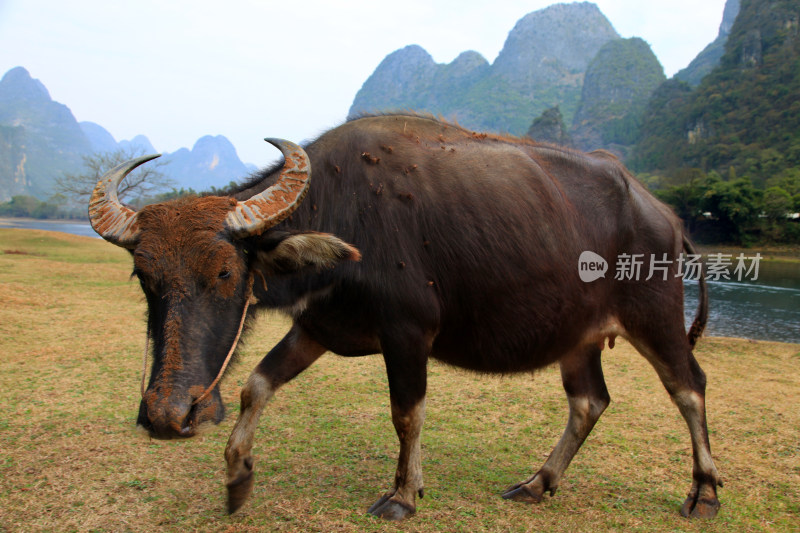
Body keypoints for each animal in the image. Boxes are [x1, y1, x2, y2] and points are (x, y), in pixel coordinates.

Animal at [90, 114, 720, 516]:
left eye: (225, 273)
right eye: (145, 278)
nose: (167, 415)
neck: (344, 218)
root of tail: (664, 214)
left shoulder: (409, 334)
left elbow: (406, 414)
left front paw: (402, 495)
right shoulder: (315, 328)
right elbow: (256, 386)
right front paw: (237, 475)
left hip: (656, 317)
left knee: (689, 387)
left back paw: (705, 493)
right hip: (578, 339)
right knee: (589, 401)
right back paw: (538, 483)